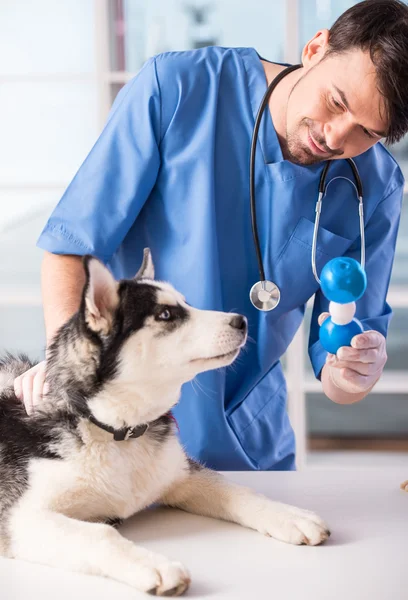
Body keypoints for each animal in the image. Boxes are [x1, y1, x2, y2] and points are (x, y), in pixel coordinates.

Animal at [0, 250, 330, 596]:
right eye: (166, 314)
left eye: (185, 304)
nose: (241, 321)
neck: (116, 432)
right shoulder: (20, 518)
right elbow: (100, 535)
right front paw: (154, 565)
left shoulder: (182, 474)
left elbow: (238, 490)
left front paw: (289, 515)